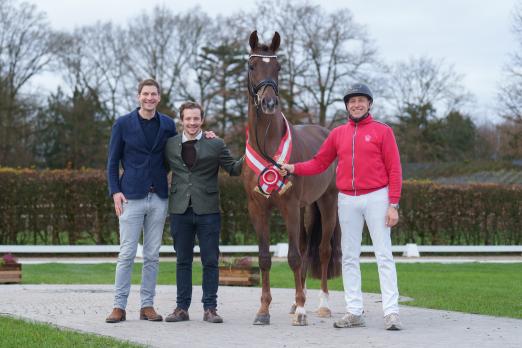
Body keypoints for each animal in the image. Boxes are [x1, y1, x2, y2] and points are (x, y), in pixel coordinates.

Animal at [241, 30, 340, 326]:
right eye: (252, 65)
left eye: (278, 67)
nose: (269, 103)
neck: (267, 144)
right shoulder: (257, 208)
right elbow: (264, 258)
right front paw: (263, 311)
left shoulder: (289, 207)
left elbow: (294, 257)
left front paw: (303, 312)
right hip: (307, 209)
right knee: (307, 248)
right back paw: (298, 302)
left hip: (326, 203)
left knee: (321, 250)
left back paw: (320, 305)